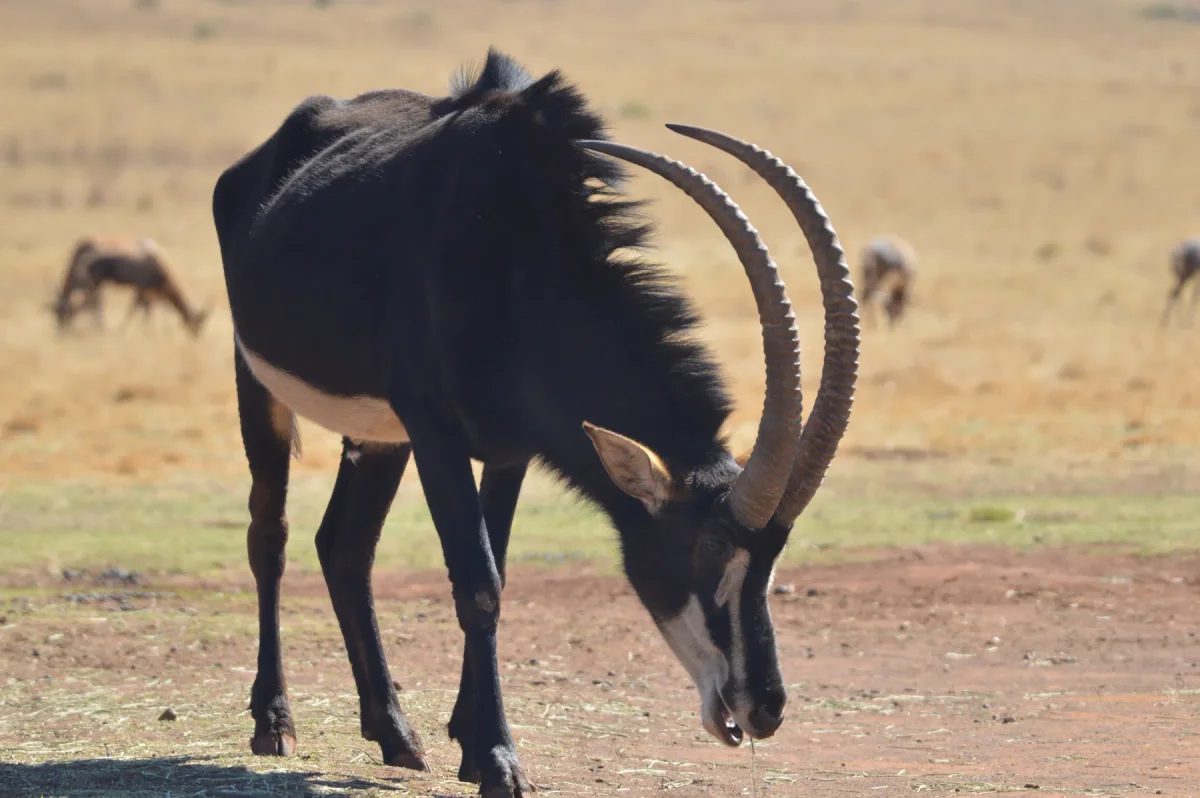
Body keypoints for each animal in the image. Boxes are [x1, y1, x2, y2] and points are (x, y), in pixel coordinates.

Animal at [49, 236, 210, 336]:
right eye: (196, 324)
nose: (197, 336)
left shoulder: (146, 292)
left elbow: (145, 310)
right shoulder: (142, 289)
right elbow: (137, 309)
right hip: (96, 285)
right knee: (92, 303)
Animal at [212, 49, 859, 798]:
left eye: (773, 554)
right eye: (707, 547)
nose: (765, 708)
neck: (514, 258)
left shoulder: (509, 449)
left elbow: (498, 569)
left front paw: (468, 742)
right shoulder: (434, 430)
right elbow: (478, 587)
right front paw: (498, 758)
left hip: (377, 437)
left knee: (344, 548)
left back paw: (395, 734)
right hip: (259, 383)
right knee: (271, 536)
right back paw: (274, 722)